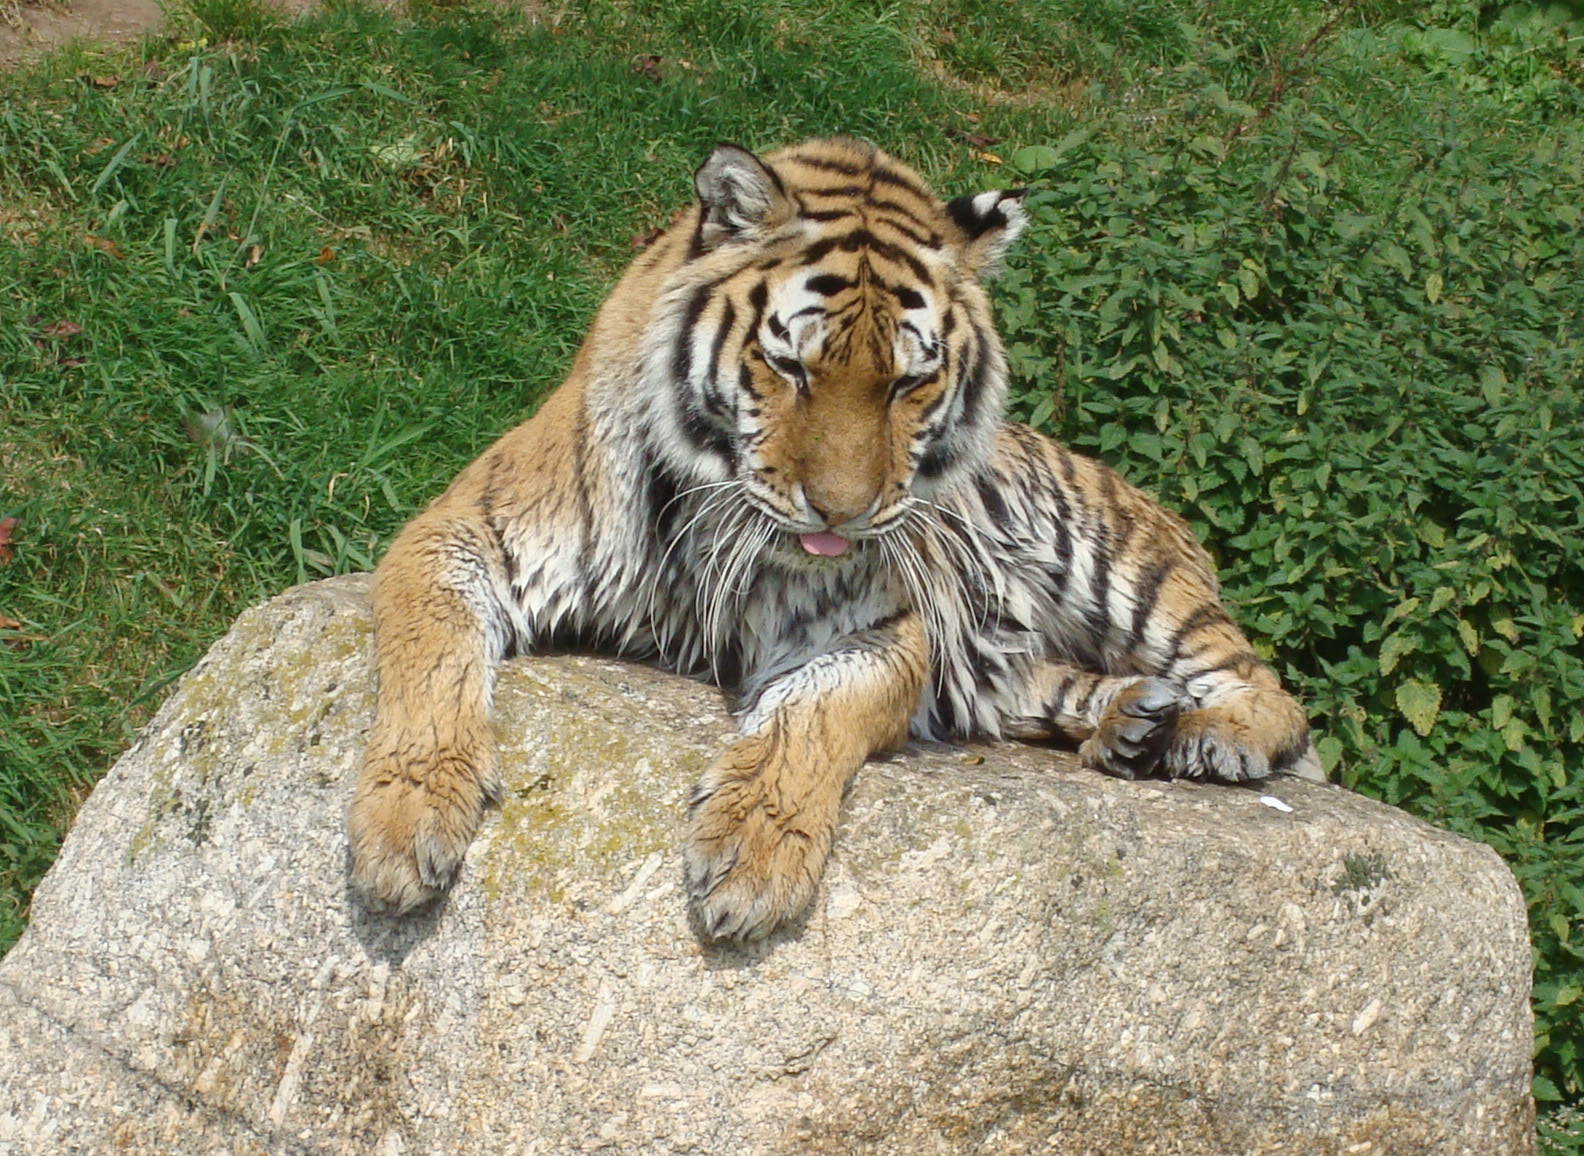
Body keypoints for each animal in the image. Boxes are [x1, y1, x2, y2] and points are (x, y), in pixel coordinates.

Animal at [348, 136, 1320, 943]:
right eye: (791, 366)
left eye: (909, 383)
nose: (841, 514)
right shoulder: (456, 530)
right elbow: (430, 653)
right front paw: (405, 821)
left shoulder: (896, 626)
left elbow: (817, 708)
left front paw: (754, 852)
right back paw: (1131, 727)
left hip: (1120, 560)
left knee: (1268, 689)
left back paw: (1208, 737)